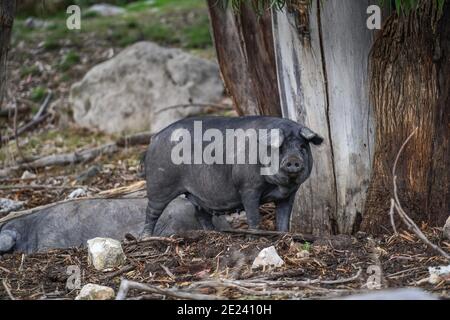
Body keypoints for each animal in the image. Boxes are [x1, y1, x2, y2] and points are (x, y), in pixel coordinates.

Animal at [142, 116, 322, 236]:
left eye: (302, 147)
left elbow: (284, 217)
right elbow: (253, 215)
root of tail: (154, 137)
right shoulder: (248, 187)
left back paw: (214, 233)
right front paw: (256, 234)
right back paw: (146, 237)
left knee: (200, 214)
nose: (293, 160)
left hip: (196, 193)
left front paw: (284, 234)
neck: (277, 186)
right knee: (151, 212)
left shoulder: (290, 193)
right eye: (281, 148)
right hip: (159, 184)